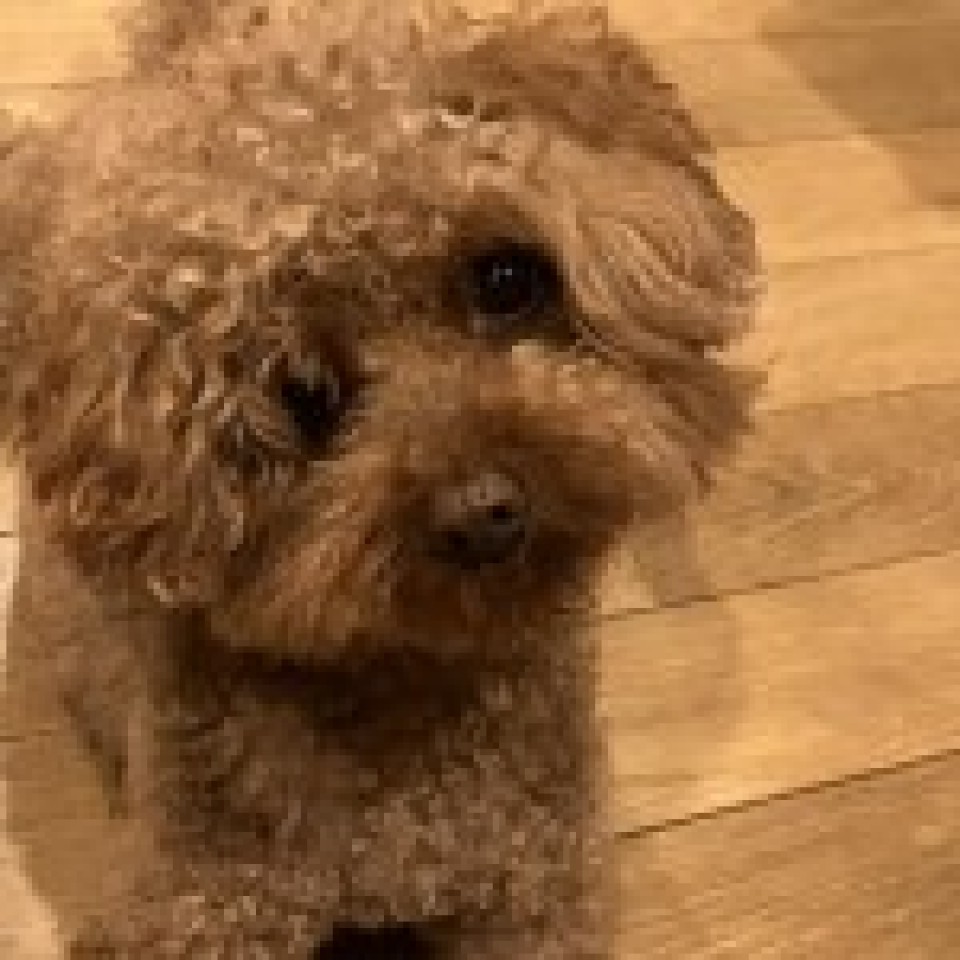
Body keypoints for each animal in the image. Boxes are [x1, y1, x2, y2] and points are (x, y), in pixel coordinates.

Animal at [0, 1, 759, 956]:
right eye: (305, 395)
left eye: (506, 279)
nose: (487, 510)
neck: (403, 678)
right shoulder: (207, 901)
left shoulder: (540, 879)